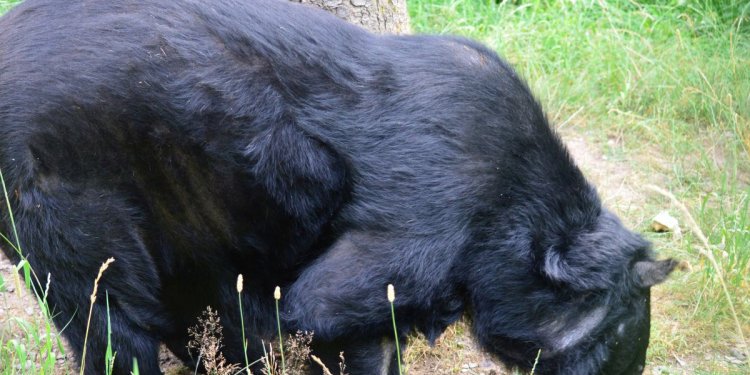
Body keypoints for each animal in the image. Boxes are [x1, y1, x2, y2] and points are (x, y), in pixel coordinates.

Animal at [0, 0, 680, 375]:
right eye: (622, 334)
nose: (629, 369)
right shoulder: (426, 219)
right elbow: (323, 307)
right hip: (61, 199)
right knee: (112, 320)